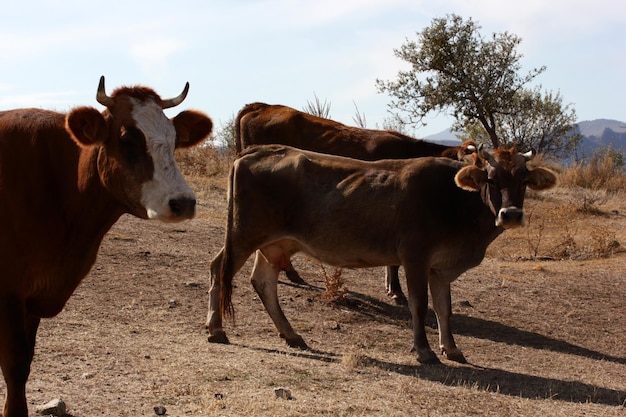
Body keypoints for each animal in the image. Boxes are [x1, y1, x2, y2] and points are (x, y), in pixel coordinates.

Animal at [0, 77, 212, 416]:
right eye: (127, 140)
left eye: (174, 138)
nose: (184, 202)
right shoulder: (8, 290)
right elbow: (16, 365)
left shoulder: (32, 296)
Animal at [206, 144, 556, 364]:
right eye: (492, 179)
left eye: (524, 180)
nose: (511, 214)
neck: (456, 200)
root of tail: (257, 150)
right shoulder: (415, 257)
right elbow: (420, 306)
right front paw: (424, 351)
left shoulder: (440, 268)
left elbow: (445, 310)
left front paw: (452, 349)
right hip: (243, 234)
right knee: (219, 269)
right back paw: (216, 329)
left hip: (275, 243)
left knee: (262, 281)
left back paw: (291, 335)